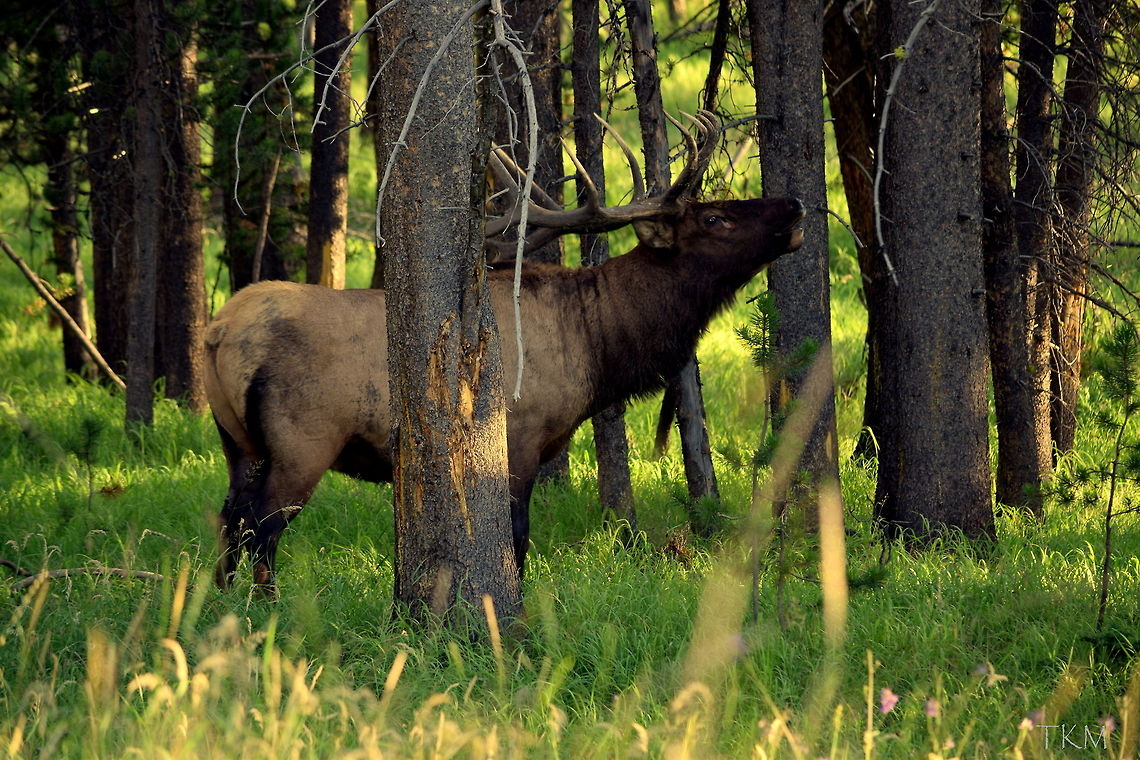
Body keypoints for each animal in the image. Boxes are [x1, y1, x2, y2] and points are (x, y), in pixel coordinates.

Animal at [204, 112, 805, 592]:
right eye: (714, 218)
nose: (794, 204)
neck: (596, 346)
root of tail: (218, 332)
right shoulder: (520, 437)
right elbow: (516, 541)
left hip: (236, 442)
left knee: (229, 521)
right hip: (303, 440)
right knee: (260, 529)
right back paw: (266, 611)